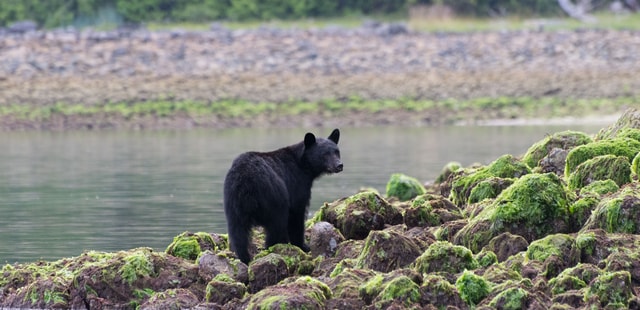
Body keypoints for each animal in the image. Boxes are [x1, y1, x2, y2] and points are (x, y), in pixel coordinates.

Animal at [225, 128, 344, 264]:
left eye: (337, 152)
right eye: (325, 154)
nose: (339, 165)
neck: (303, 164)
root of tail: (246, 180)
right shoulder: (296, 183)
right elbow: (296, 214)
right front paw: (303, 245)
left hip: (233, 201)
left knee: (237, 231)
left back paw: (244, 258)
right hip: (273, 195)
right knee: (277, 223)